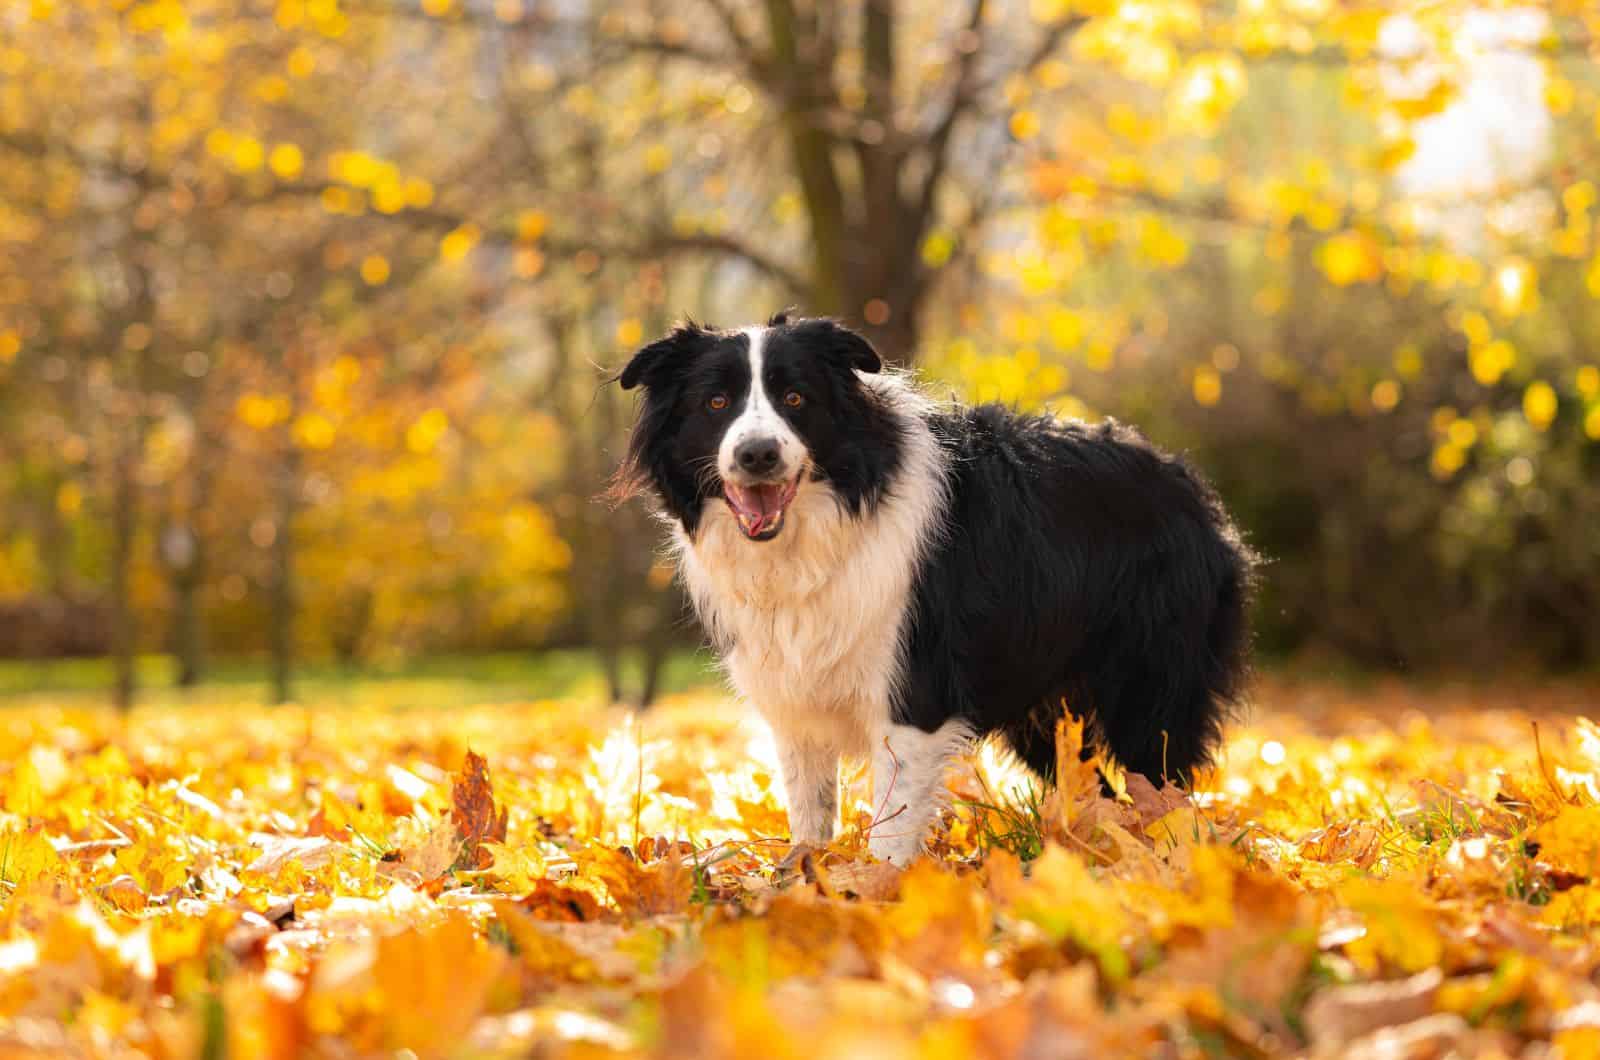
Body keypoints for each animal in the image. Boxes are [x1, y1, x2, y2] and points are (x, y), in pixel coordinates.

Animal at [617, 313, 1254, 864]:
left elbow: (891, 824)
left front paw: (872, 891)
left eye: (795, 399)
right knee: (1095, 785)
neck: (816, 534)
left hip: (1151, 678)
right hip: (1045, 707)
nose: (758, 455)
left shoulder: (913, 689)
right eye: (715, 403)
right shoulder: (795, 696)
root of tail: (1188, 482)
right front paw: (805, 874)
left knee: (1161, 776)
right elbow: (810, 807)